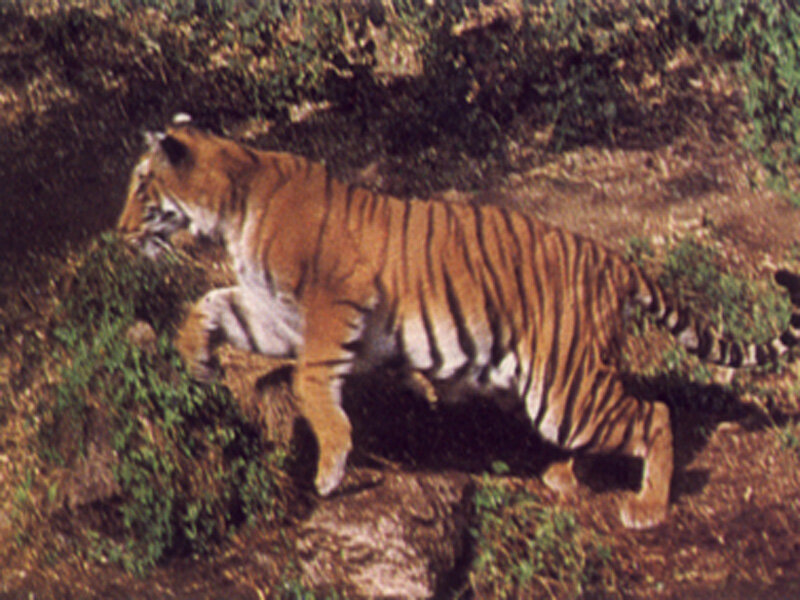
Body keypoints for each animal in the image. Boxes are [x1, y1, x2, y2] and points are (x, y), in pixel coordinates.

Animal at [117, 114, 800, 529]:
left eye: (141, 187)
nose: (119, 233)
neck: (232, 206)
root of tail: (613, 258)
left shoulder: (334, 305)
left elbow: (313, 383)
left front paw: (331, 467)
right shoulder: (276, 312)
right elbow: (210, 305)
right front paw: (198, 358)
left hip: (564, 391)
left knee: (652, 413)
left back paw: (648, 507)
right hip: (559, 386)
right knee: (624, 415)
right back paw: (563, 476)